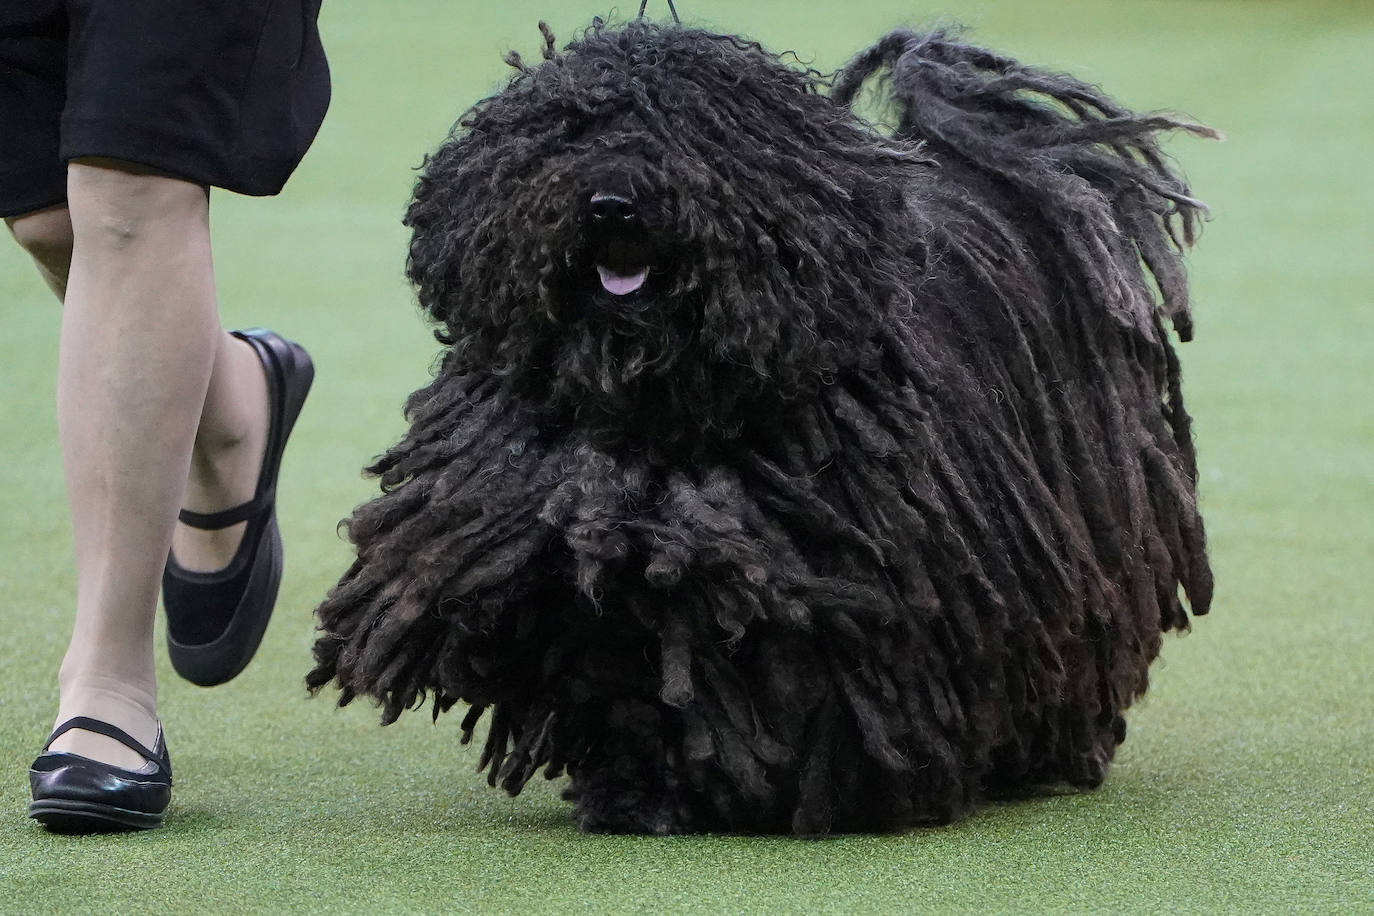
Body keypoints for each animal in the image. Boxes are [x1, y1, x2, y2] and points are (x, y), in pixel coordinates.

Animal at [303, 19, 1214, 840]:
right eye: (567, 133)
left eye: (686, 131)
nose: (611, 202)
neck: (652, 406)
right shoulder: (572, 562)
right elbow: (628, 677)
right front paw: (638, 794)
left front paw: (838, 797)